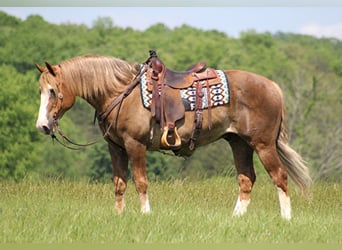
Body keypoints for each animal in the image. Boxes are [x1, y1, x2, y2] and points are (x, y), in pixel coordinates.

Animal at [36, 54, 312, 219]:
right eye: (40, 90)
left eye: (53, 91)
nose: (42, 126)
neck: (120, 92)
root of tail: (273, 87)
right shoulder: (115, 147)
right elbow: (119, 183)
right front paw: (118, 215)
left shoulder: (135, 145)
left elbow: (141, 181)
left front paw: (146, 214)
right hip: (240, 144)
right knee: (246, 180)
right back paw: (236, 218)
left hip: (263, 145)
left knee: (279, 177)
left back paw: (285, 219)